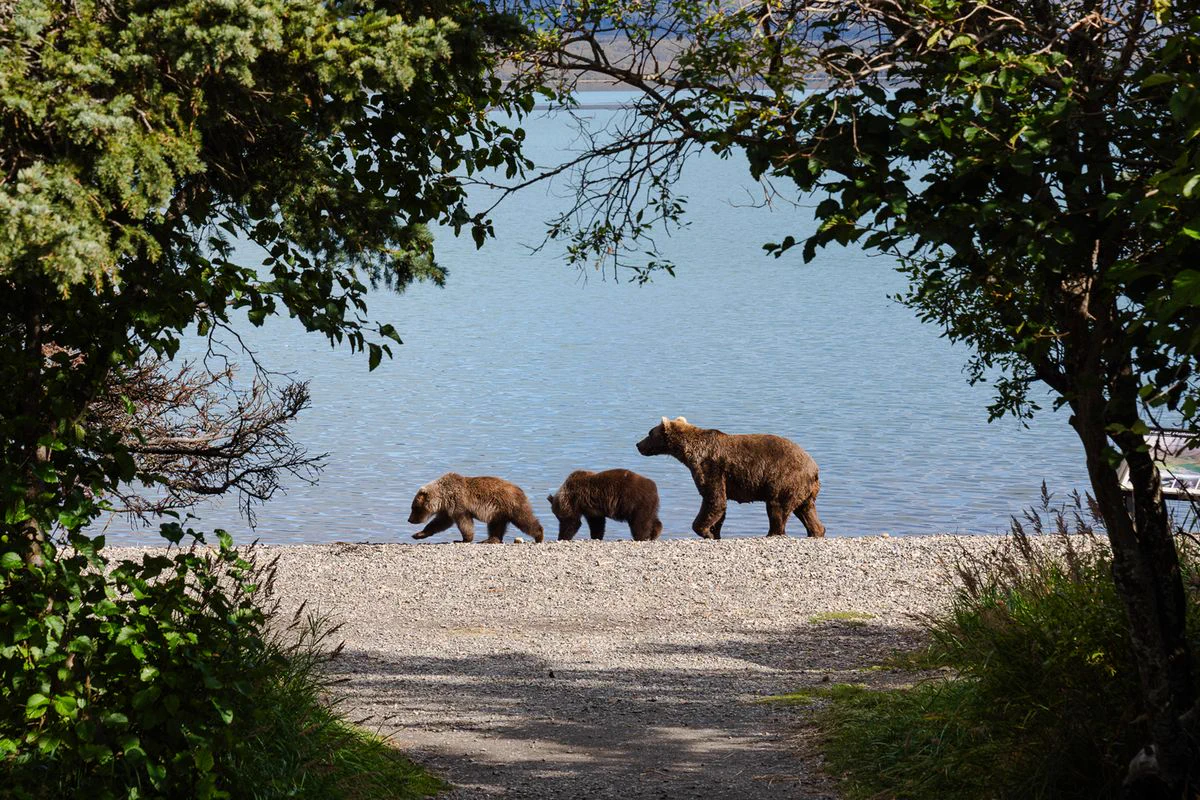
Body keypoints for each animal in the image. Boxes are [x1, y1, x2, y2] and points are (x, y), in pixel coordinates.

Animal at [408, 473, 544, 544]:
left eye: (414, 507)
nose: (409, 520)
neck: (444, 497)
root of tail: (520, 489)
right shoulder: (447, 509)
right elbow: (439, 523)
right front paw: (418, 534)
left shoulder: (459, 505)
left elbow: (464, 523)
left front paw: (464, 539)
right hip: (498, 512)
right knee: (496, 526)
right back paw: (490, 539)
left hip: (511, 505)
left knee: (525, 520)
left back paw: (539, 535)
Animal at [635, 416, 826, 539]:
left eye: (649, 433)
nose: (638, 444)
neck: (688, 452)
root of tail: (815, 468)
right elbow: (719, 505)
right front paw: (714, 532)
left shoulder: (710, 466)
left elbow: (714, 500)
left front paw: (705, 531)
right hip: (804, 490)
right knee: (806, 511)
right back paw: (817, 531)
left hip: (785, 479)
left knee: (776, 509)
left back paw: (772, 533)